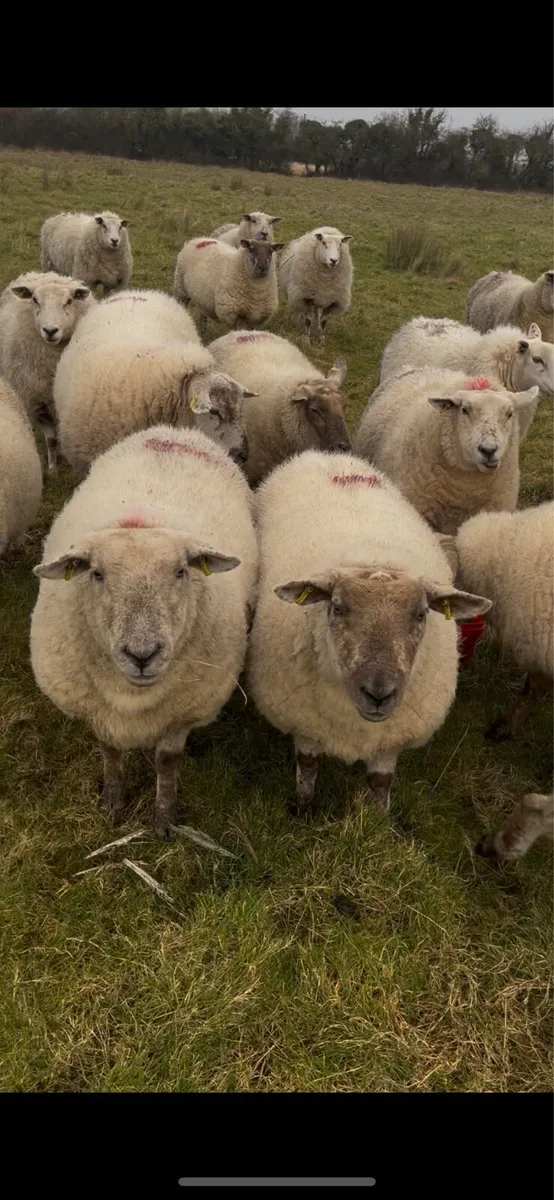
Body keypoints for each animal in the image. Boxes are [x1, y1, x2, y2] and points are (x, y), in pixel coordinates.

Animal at [0, 271, 95, 472]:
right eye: (35, 300)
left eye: (69, 301)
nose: (50, 330)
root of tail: (43, 274)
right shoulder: (37, 404)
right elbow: (51, 440)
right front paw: (52, 469)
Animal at [30, 424, 258, 838]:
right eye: (97, 573)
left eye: (181, 571)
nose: (142, 655)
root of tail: (172, 430)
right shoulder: (98, 711)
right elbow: (109, 751)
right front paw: (113, 801)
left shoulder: (182, 713)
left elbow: (167, 763)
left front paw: (164, 819)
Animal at [246, 449, 491, 818]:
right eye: (337, 607)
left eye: (421, 614)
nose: (379, 694)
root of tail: (324, 454)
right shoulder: (305, 722)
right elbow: (308, 766)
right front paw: (303, 811)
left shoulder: (391, 737)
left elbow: (380, 783)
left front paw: (378, 821)